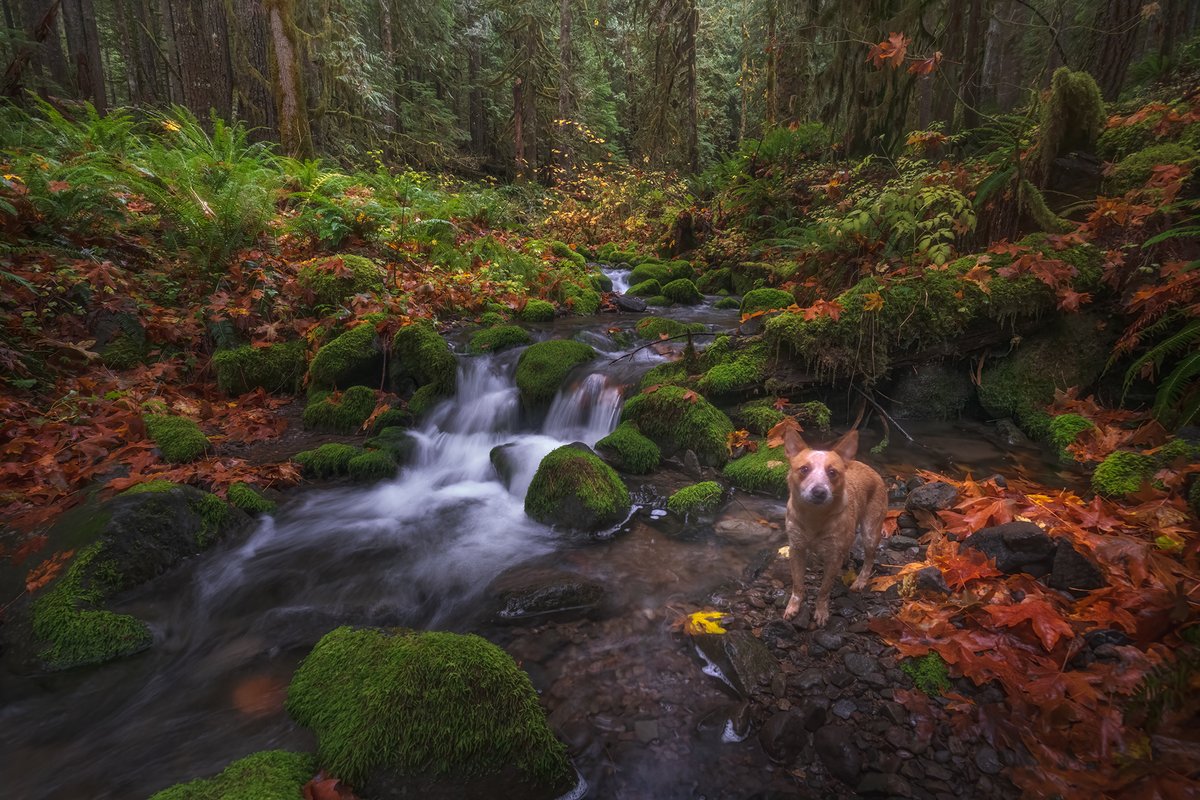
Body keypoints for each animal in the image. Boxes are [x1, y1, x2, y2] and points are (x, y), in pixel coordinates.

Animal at [782, 429, 888, 628]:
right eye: (804, 469)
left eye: (832, 472)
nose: (819, 491)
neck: (814, 518)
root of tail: (868, 467)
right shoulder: (796, 549)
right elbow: (798, 584)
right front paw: (793, 607)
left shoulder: (832, 559)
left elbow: (824, 590)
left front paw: (821, 612)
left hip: (870, 532)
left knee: (870, 558)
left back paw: (860, 581)